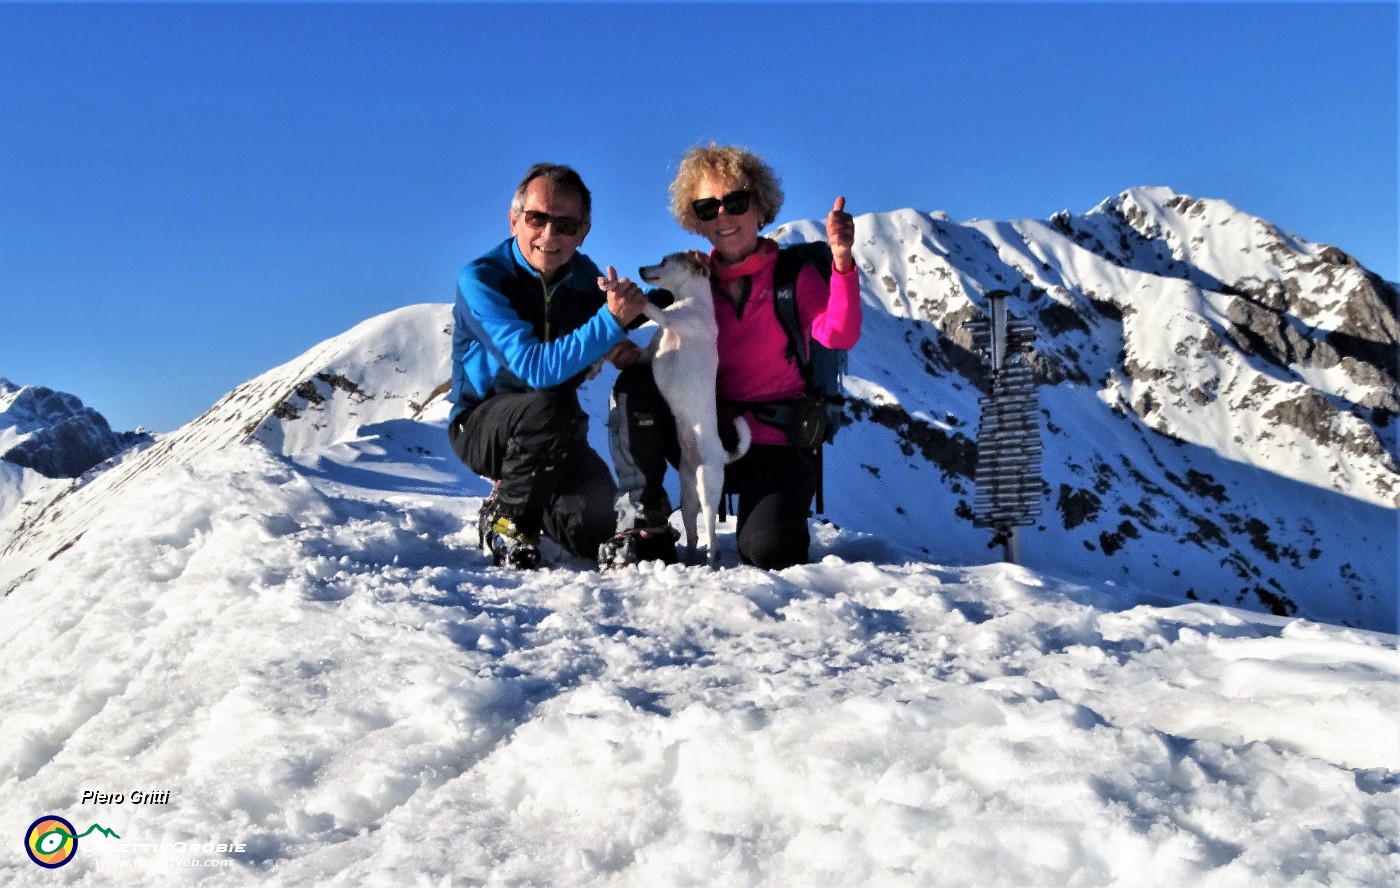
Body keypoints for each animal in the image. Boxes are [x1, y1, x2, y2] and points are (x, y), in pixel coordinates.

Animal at [638, 249, 750, 565]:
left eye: (664, 261)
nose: (640, 269)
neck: (691, 299)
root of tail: (724, 455)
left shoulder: (671, 318)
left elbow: (653, 309)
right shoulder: (650, 350)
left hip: (708, 490)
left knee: (711, 535)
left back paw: (711, 562)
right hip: (688, 497)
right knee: (692, 534)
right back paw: (688, 559)